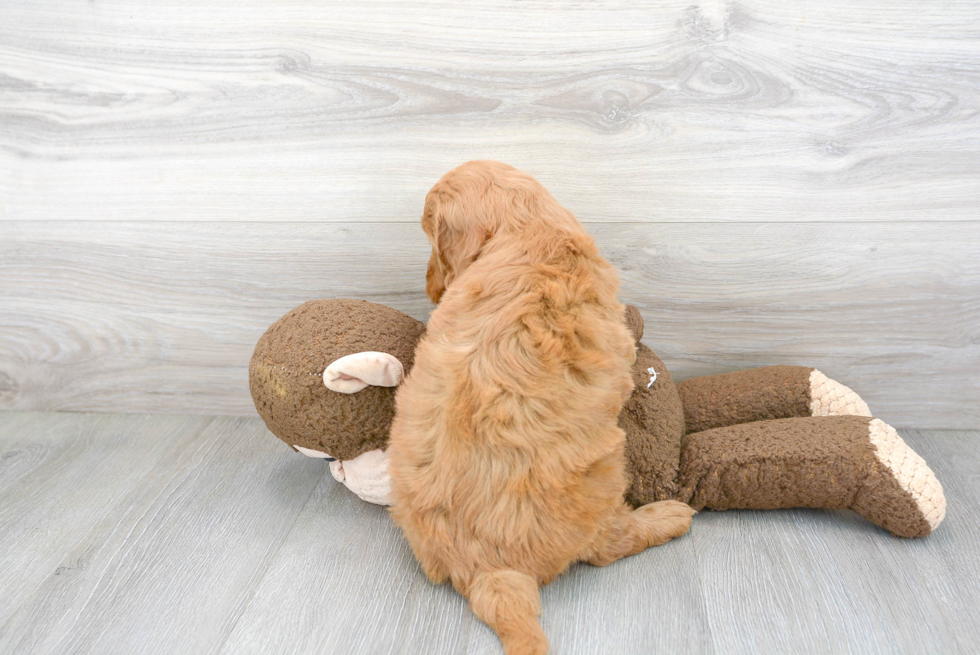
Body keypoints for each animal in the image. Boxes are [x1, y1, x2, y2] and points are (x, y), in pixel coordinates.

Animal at [386, 160, 692, 655]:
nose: (431, 288)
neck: (526, 228)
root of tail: (489, 573)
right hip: (605, 477)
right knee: (609, 546)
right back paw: (667, 517)